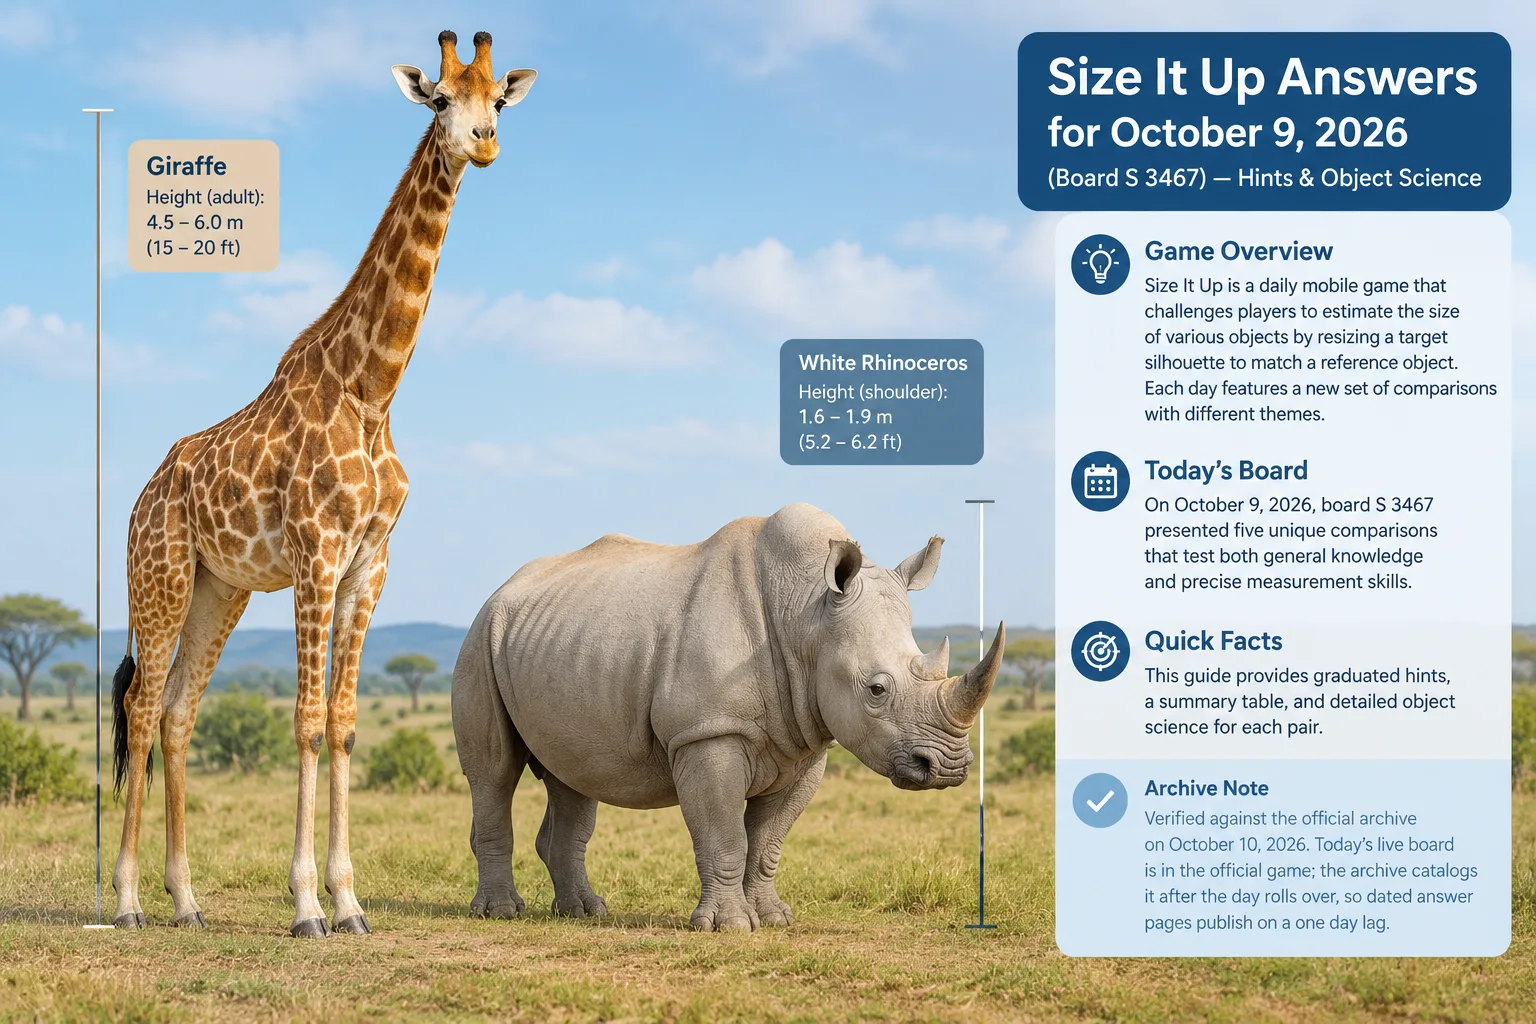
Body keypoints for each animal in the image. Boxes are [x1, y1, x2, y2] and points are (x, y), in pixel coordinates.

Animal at [108, 30, 535, 937]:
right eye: (440, 98)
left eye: (499, 100)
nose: (483, 142)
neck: (374, 390)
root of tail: (143, 495)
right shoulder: (316, 553)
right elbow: (304, 724)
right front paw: (306, 905)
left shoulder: (371, 562)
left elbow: (342, 727)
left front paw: (350, 902)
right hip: (159, 578)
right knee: (140, 710)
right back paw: (126, 902)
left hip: (220, 588)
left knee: (178, 712)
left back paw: (186, 902)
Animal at [451, 502, 1004, 931]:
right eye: (876, 689)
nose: (950, 767)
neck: (806, 614)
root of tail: (500, 590)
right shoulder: (707, 733)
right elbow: (724, 834)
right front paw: (729, 926)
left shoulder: (807, 742)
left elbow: (768, 841)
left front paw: (774, 919)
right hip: (481, 638)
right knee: (494, 771)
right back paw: (501, 913)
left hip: (560, 641)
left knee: (573, 776)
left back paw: (585, 913)